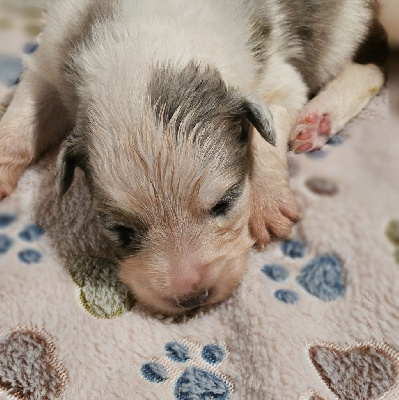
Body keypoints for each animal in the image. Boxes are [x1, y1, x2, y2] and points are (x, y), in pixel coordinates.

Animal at [0, 0, 390, 314]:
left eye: (225, 203)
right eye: (121, 230)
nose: (191, 298)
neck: (149, 42)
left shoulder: (276, 77)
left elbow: (269, 133)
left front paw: (268, 203)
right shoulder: (50, 61)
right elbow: (21, 120)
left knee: (375, 64)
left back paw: (318, 119)